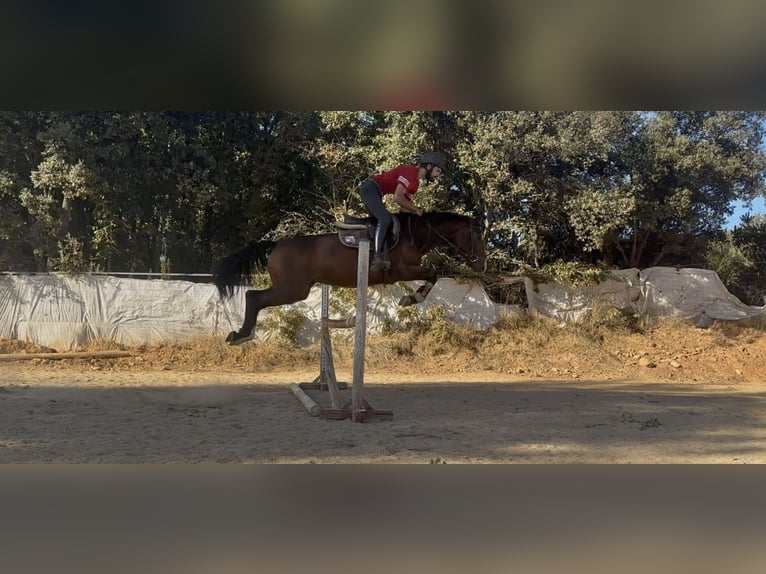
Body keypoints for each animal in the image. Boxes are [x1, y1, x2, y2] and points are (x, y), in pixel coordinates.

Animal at [213, 211, 486, 345]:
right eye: (476, 236)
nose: (481, 265)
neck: (413, 234)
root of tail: (276, 245)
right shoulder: (401, 270)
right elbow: (432, 273)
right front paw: (411, 299)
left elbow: (432, 274)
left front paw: (411, 298)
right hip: (292, 289)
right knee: (253, 296)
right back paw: (241, 335)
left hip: (296, 289)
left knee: (254, 296)